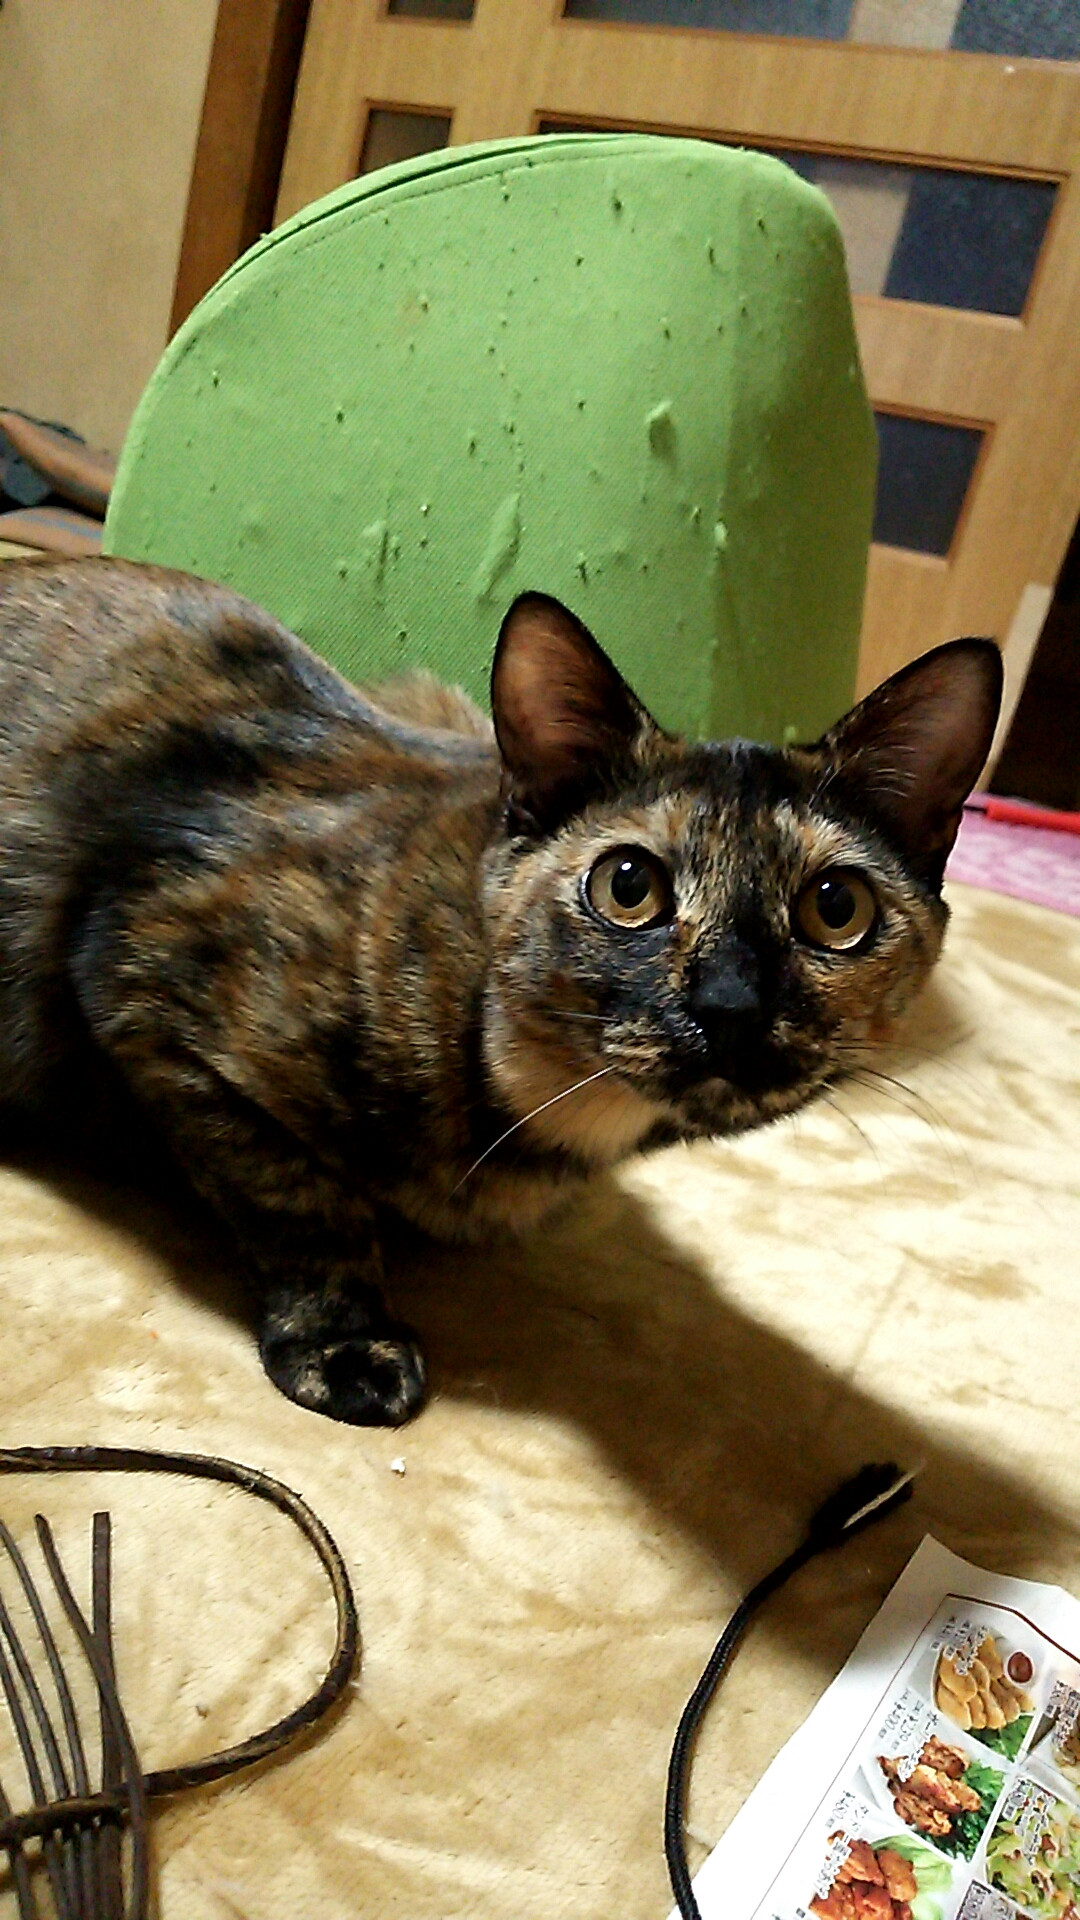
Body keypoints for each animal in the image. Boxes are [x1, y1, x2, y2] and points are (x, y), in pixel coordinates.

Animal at [0, 559, 1001, 1425]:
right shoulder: (141, 971)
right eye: (628, 886)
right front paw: (346, 1343)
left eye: (836, 908)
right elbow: (295, 1199)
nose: (731, 1006)